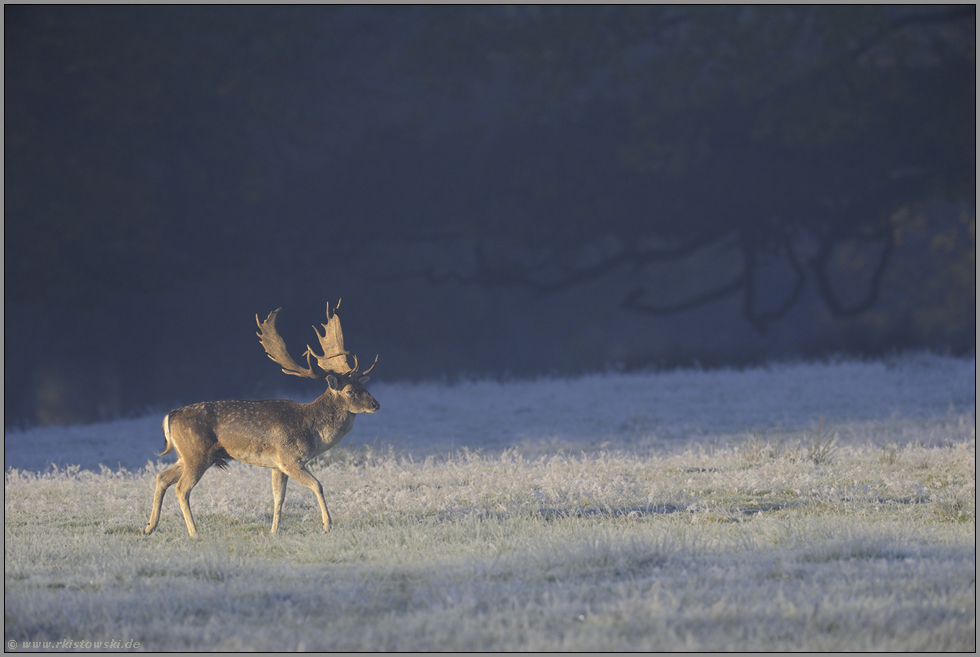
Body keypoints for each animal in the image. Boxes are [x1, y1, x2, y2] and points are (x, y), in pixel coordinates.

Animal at [142, 300, 378, 536]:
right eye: (350, 391)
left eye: (363, 386)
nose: (375, 404)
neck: (313, 430)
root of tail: (169, 417)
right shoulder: (290, 458)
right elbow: (317, 485)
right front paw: (327, 524)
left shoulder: (277, 466)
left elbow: (278, 497)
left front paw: (273, 531)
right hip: (197, 454)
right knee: (181, 488)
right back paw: (194, 532)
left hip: (186, 455)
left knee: (162, 477)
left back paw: (149, 527)